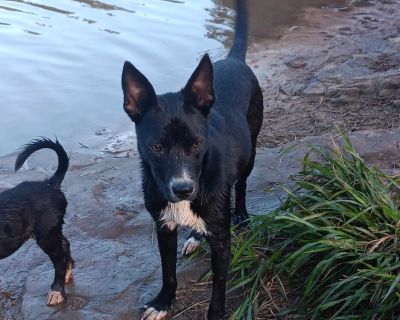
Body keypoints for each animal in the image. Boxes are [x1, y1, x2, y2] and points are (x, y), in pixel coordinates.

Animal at [0, 139, 73, 306]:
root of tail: (49, 184)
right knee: (65, 244)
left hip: (46, 234)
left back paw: (57, 291)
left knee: (59, 258)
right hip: (52, 231)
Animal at [122, 1, 264, 318]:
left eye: (197, 143)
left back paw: (243, 215)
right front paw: (163, 302)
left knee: (242, 185)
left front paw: (215, 313)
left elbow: (219, 286)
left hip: (251, 153)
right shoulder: (164, 226)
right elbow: (168, 272)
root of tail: (233, 60)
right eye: (157, 147)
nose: (184, 189)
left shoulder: (223, 240)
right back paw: (196, 237)